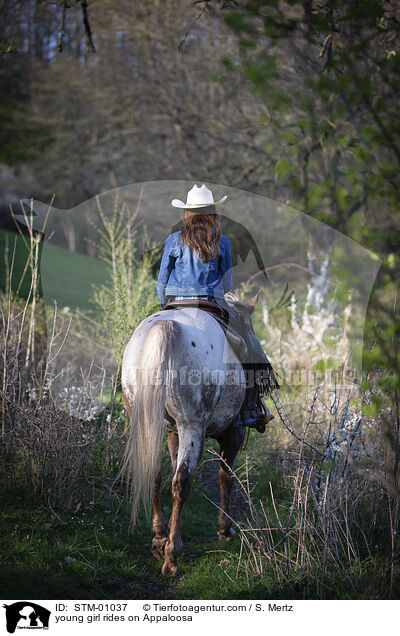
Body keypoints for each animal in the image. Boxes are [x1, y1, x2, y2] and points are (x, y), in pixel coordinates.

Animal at [120, 294, 260, 576]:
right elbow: (225, 478)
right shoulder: (233, 433)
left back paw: (160, 537)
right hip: (192, 424)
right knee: (181, 482)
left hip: (146, 418)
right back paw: (172, 557)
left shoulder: (173, 433)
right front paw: (224, 529)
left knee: (155, 473)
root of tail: (166, 328)